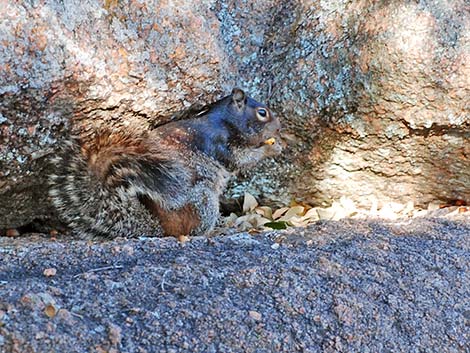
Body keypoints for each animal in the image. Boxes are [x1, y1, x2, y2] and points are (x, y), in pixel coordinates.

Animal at [49, 88, 280, 238]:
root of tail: (159, 228)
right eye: (262, 113)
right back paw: (219, 228)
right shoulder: (220, 144)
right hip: (204, 199)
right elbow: (241, 159)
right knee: (193, 231)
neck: (222, 119)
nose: (279, 127)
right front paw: (273, 147)